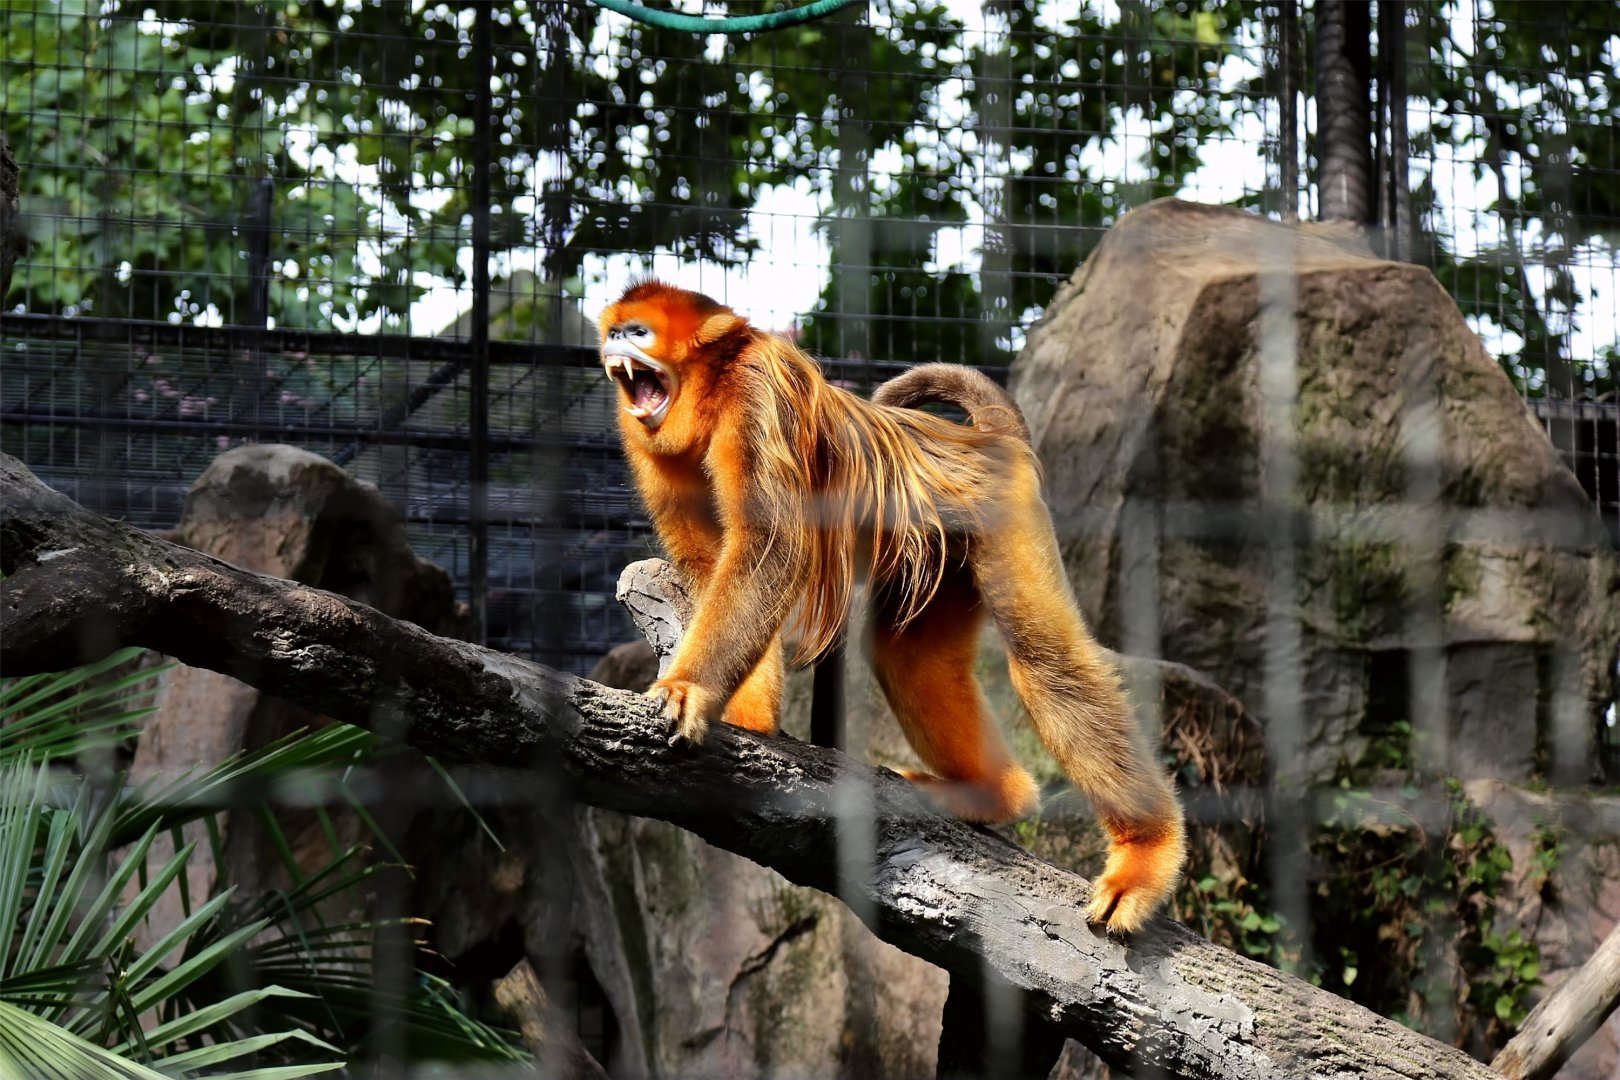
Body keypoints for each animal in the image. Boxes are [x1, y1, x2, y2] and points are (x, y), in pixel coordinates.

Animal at [598, 279, 1185, 933]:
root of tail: (983, 435)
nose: (614, 340)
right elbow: (709, 564)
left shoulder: (758, 390)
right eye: (617, 329)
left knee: (1047, 661)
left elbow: (770, 549)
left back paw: (1143, 853)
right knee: (910, 655)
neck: (710, 397)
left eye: (638, 332)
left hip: (999, 508)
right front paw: (746, 715)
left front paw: (692, 689)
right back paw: (991, 794)